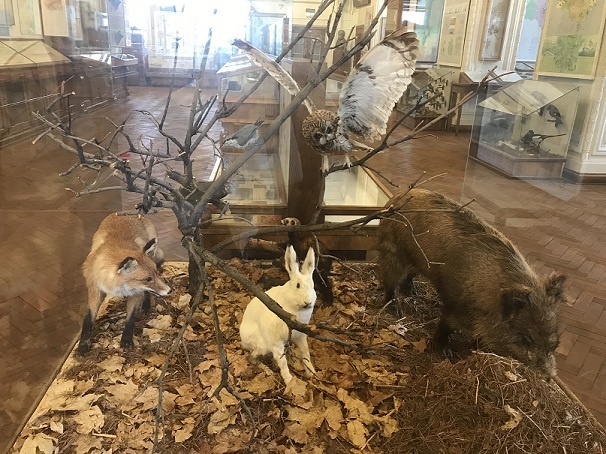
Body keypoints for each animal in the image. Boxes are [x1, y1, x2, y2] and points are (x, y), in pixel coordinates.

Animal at [240, 245, 317, 384]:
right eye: (298, 285)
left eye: (312, 286)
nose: (308, 302)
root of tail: (243, 340)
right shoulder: (276, 342)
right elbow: (283, 362)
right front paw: (290, 382)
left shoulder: (300, 336)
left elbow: (305, 353)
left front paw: (312, 373)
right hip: (262, 345)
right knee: (252, 358)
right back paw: (268, 371)